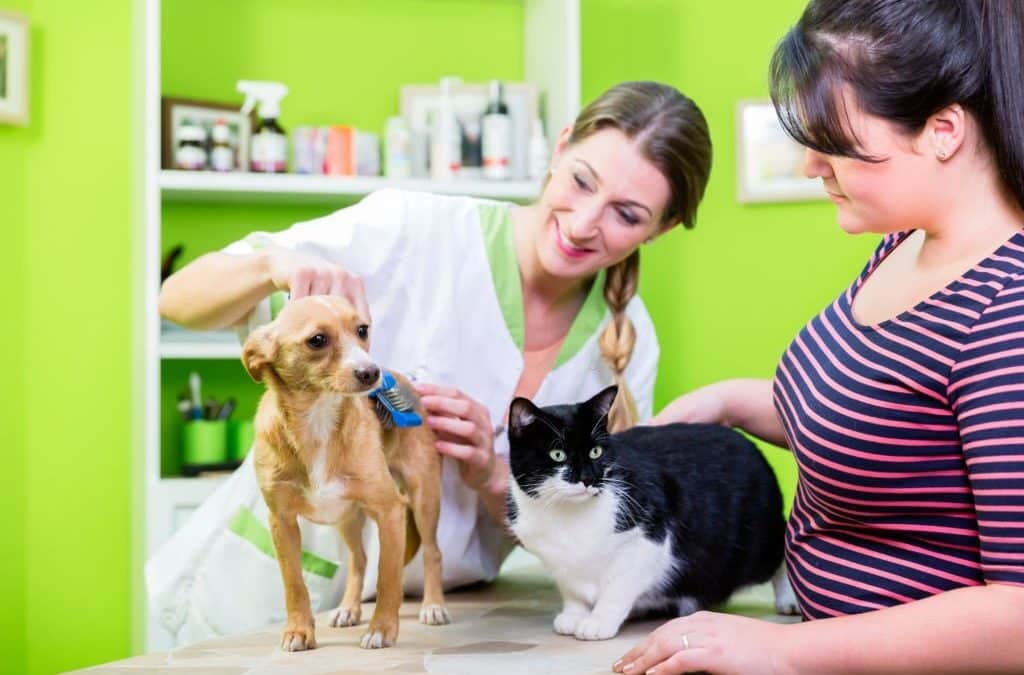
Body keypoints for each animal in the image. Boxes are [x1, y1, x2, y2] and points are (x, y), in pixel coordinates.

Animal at [241, 294, 450, 651]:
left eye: (362, 330)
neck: (319, 419)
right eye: (317, 340)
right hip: (347, 517)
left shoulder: (390, 511)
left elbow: (388, 578)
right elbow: (294, 584)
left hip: (424, 498)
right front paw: (299, 630)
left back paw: (433, 605)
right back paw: (349, 608)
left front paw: (382, 629)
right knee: (359, 559)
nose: (372, 372)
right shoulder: (281, 521)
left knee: (432, 551)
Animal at [507, 385, 794, 639]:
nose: (588, 479)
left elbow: (618, 587)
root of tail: (754, 449)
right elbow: (572, 589)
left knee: (780, 553)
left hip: (755, 543)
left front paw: (599, 620)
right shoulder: (557, 559)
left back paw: (787, 599)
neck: (567, 515)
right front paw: (574, 615)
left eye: (596, 452)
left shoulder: (649, 541)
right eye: (557, 455)